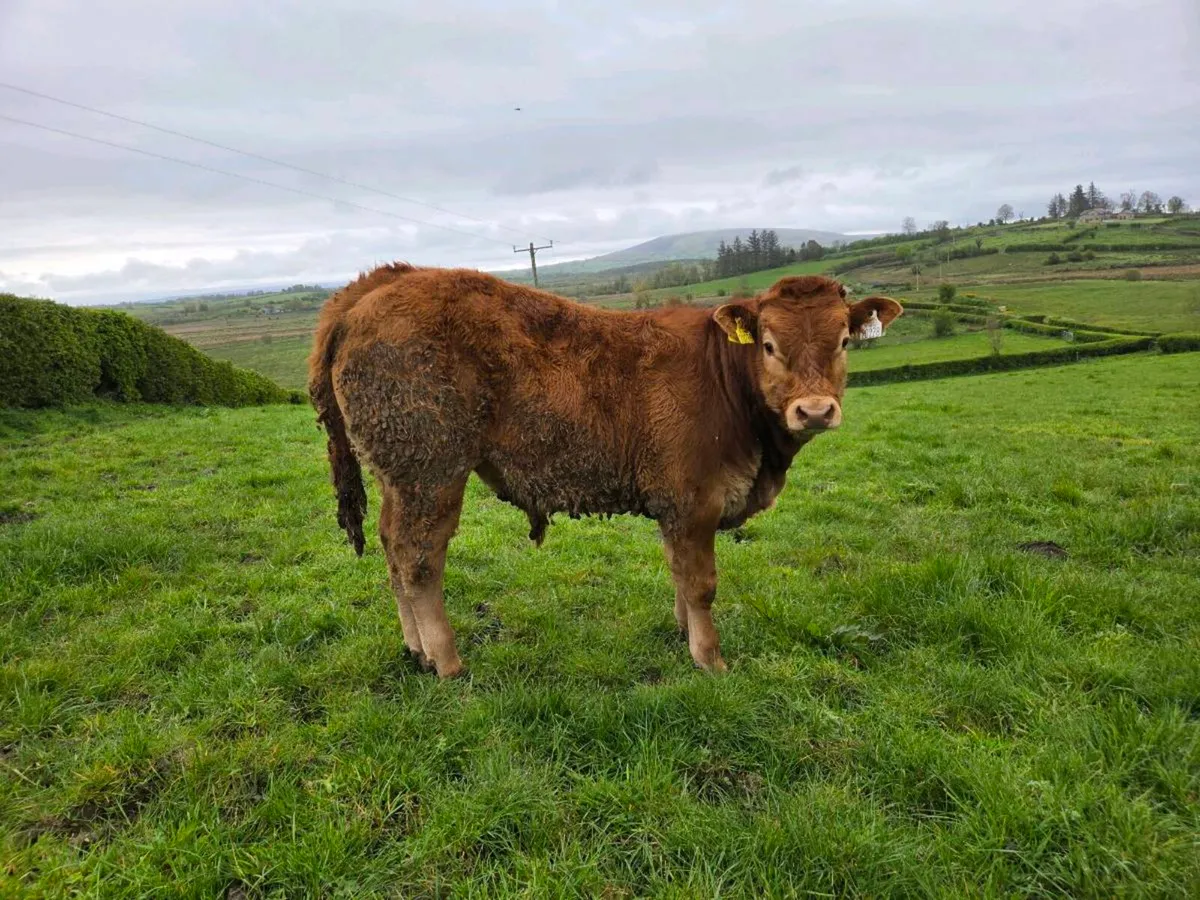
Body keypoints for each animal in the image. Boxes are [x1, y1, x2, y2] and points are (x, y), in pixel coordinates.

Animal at [308, 264, 901, 678]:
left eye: (844, 342)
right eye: (770, 345)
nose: (815, 410)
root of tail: (384, 280)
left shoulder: (674, 506)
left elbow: (678, 574)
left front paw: (683, 634)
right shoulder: (694, 498)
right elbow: (702, 584)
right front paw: (709, 659)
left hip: (398, 473)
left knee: (391, 547)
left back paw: (414, 649)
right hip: (432, 471)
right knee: (419, 559)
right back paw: (446, 660)